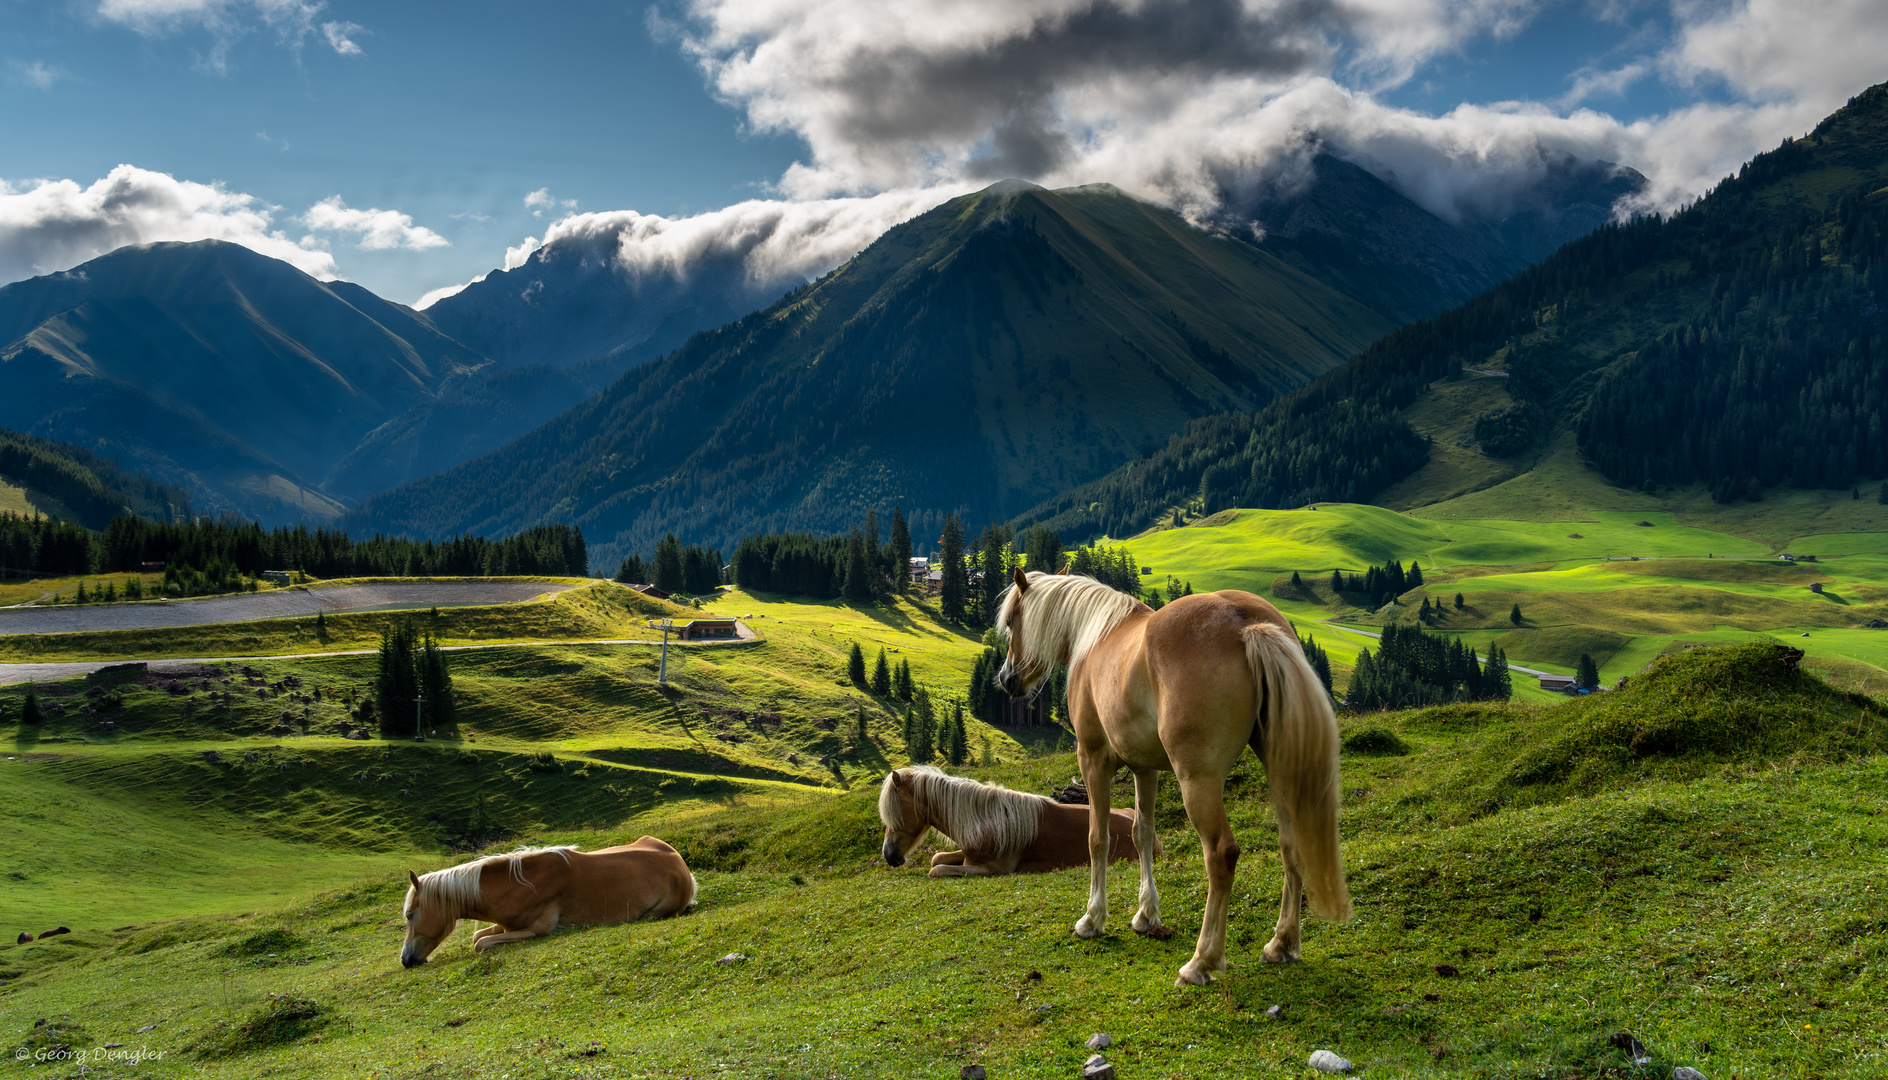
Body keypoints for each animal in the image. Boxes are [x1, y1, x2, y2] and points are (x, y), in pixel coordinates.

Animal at [402, 838, 698, 966]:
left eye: (410, 915)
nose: (406, 959)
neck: (515, 887)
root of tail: (680, 862)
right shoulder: (506, 925)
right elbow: (478, 936)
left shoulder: (536, 930)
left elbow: (481, 944)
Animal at [876, 766, 1155, 876]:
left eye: (895, 813)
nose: (889, 855)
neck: (986, 820)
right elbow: (936, 858)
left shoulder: (991, 869)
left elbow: (936, 870)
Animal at [996, 573, 1351, 989]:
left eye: (1013, 621)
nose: (1007, 678)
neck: (1095, 635)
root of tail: (1244, 622)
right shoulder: (1144, 769)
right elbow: (1142, 835)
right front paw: (1146, 914)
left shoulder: (1093, 759)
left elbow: (1098, 838)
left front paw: (1093, 919)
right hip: (1279, 768)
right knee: (1290, 844)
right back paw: (1282, 944)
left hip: (1198, 781)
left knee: (1221, 854)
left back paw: (1202, 961)